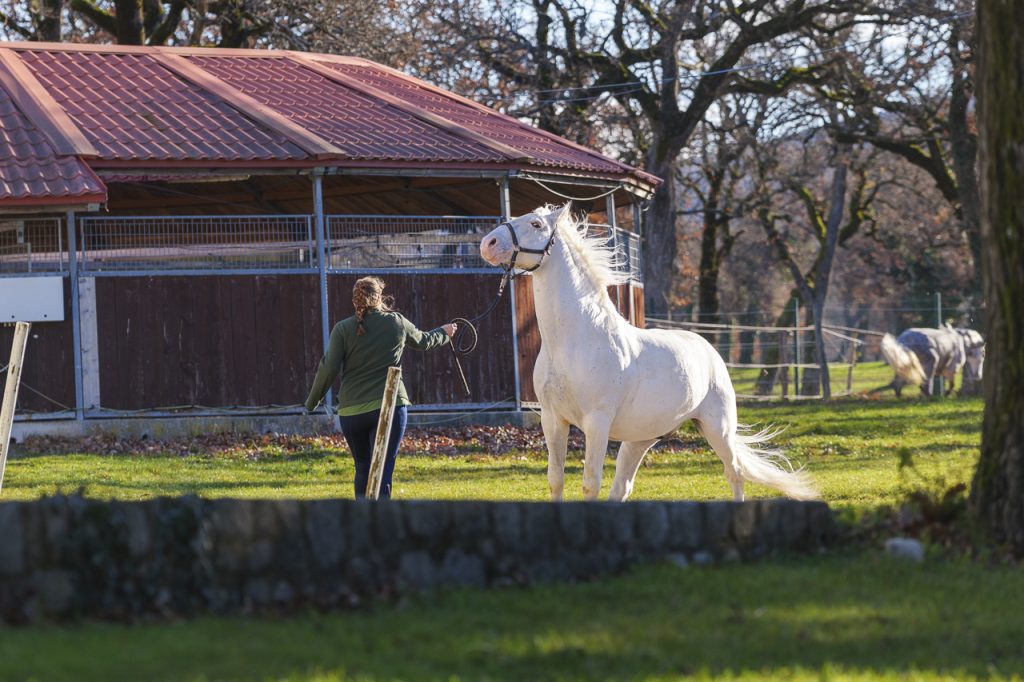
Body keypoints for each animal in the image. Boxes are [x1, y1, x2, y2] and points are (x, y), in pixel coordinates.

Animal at [479, 204, 817, 502]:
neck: (574, 341)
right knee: (623, 488)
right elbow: (556, 480)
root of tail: (708, 350)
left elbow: (590, 484)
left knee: (734, 474)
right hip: (641, 438)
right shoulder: (553, 420)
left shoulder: (596, 422)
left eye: (536, 224)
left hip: (718, 429)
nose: (488, 244)